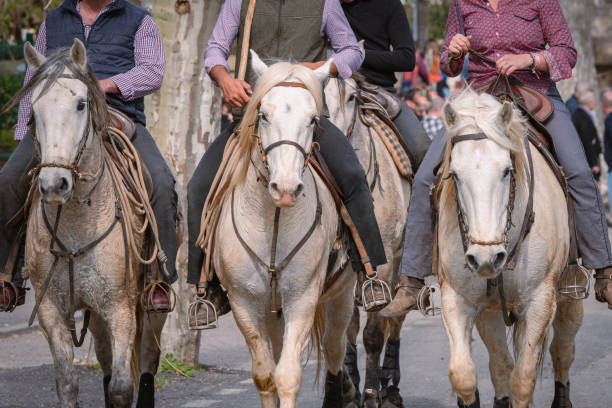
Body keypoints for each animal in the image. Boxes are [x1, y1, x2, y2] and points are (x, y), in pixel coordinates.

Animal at [326, 77, 412, 408]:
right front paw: (349, 388)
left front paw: (372, 394)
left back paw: (390, 386)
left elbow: (374, 333)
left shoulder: (384, 262)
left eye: (352, 97)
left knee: (396, 318)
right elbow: (345, 328)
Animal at [436, 89, 584, 408]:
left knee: (563, 350)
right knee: (500, 364)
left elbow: (523, 381)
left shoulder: (541, 301)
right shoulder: (457, 297)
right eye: (454, 174)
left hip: (571, 290)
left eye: (506, 170)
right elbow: (464, 375)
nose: (486, 258)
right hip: (490, 308)